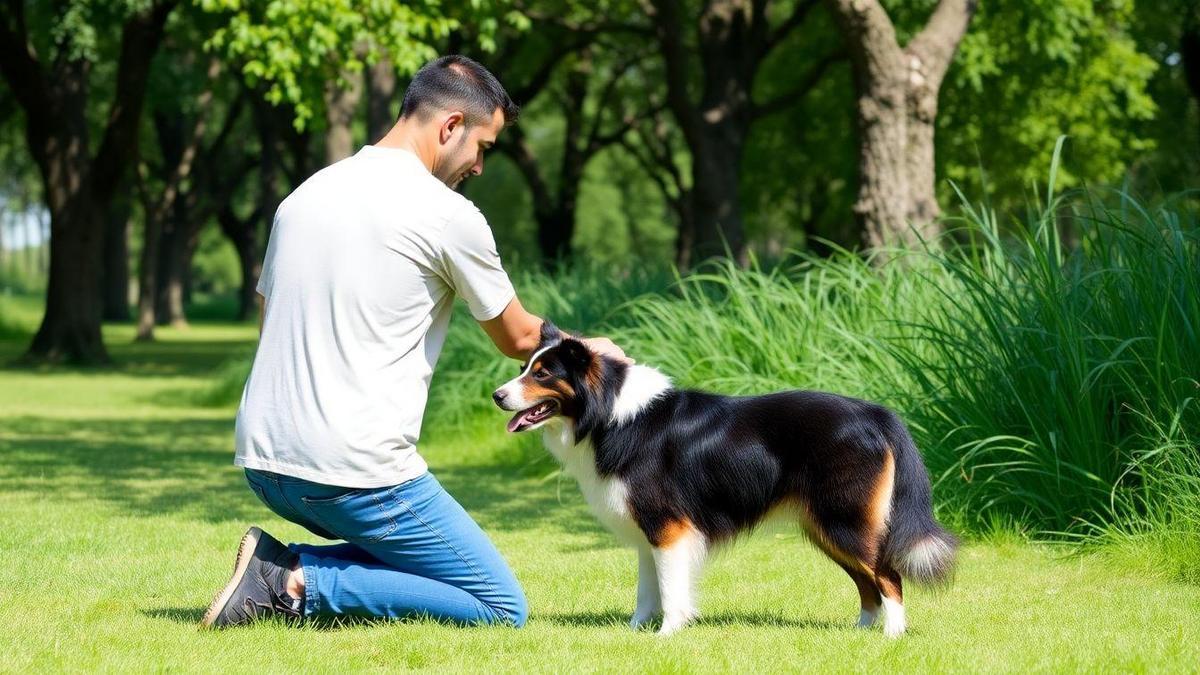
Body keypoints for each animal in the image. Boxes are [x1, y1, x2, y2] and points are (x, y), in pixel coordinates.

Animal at [489, 324, 955, 634]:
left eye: (543, 374)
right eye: (524, 367)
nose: (497, 395)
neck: (607, 414)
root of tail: (876, 414)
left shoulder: (668, 528)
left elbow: (671, 589)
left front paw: (666, 636)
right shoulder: (647, 532)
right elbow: (646, 590)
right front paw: (633, 633)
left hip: (846, 520)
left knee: (888, 576)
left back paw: (892, 637)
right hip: (828, 527)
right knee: (867, 583)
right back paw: (859, 634)